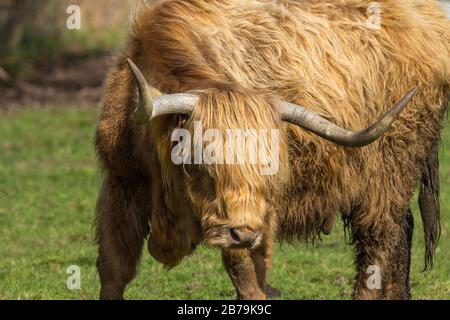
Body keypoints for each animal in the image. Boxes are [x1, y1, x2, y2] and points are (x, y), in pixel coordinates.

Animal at [93, 0, 448, 300]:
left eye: (267, 168)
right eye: (201, 164)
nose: (243, 234)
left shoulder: (249, 214)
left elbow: (245, 276)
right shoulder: (121, 184)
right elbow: (113, 268)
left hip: (388, 175)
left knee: (379, 246)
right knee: (401, 232)